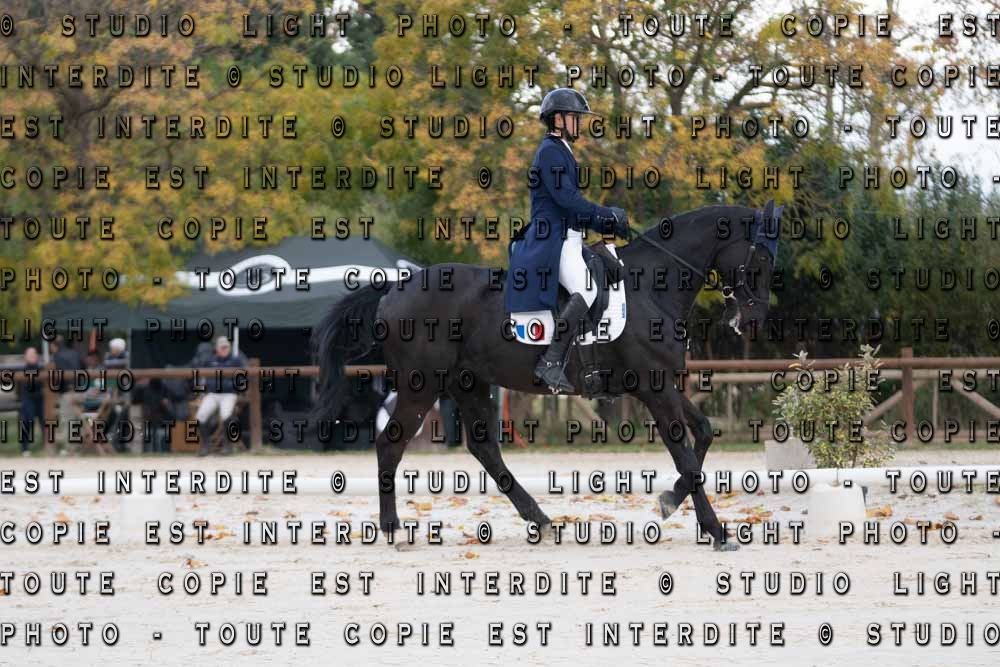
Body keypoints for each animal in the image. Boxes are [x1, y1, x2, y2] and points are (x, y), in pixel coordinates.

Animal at [312, 202, 781, 551]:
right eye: (761, 256)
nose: (753, 319)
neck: (652, 286)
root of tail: (394, 288)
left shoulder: (663, 382)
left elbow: (703, 434)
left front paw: (668, 502)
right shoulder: (655, 388)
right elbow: (685, 455)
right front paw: (716, 531)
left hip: (468, 382)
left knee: (484, 449)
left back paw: (542, 520)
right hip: (420, 385)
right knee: (391, 445)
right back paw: (393, 528)